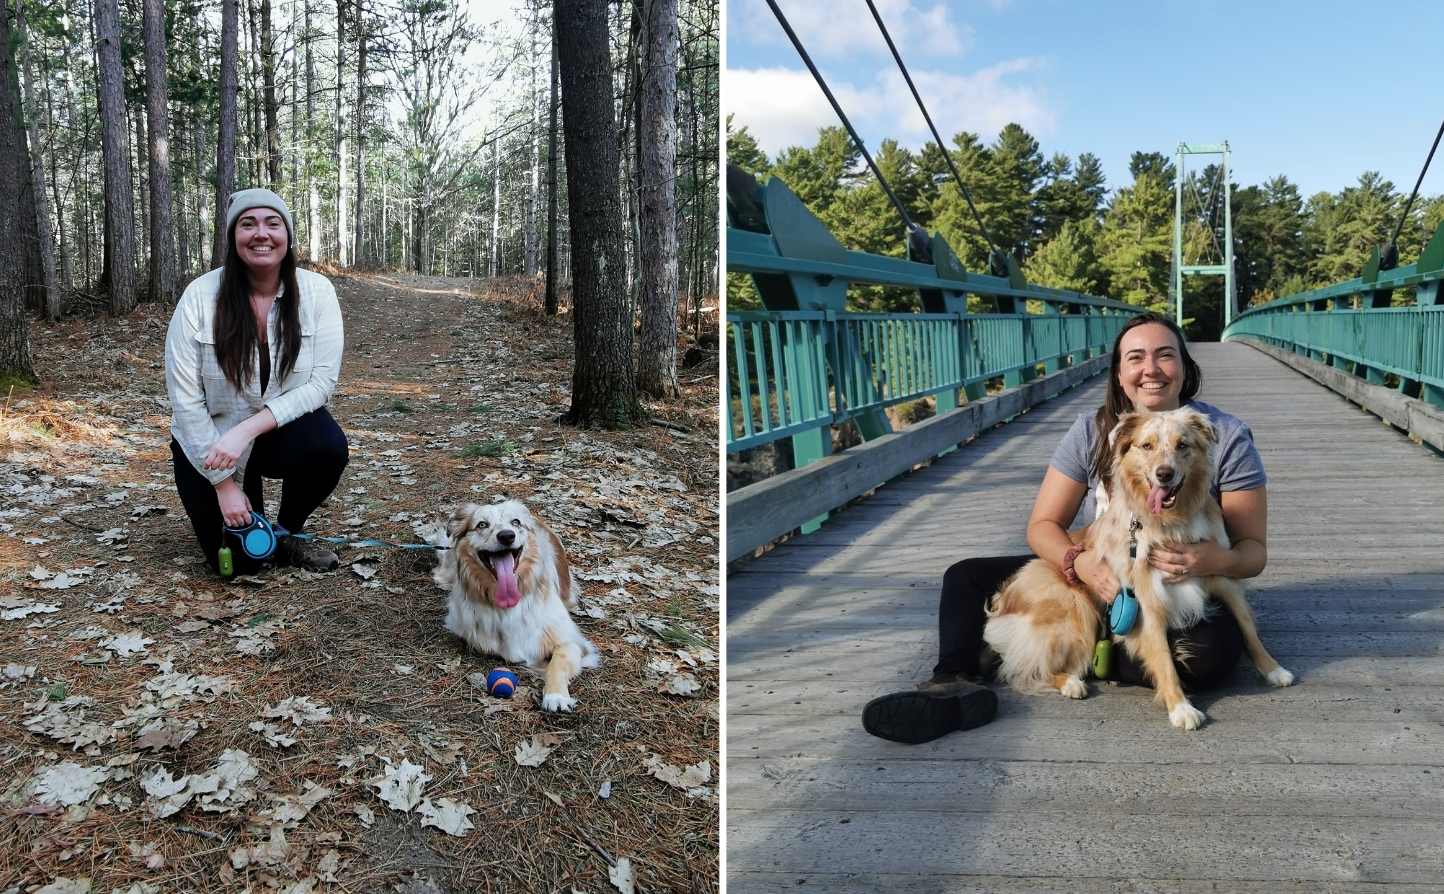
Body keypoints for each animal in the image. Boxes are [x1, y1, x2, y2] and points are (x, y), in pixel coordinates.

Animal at [436, 502, 600, 713]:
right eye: (482, 524)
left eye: (515, 522)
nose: (507, 535)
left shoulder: (572, 641)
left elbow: (558, 661)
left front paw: (556, 695)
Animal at [981, 410, 1299, 730]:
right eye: (1147, 446)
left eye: (1182, 445)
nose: (1164, 474)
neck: (1172, 522)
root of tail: (1006, 596)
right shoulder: (1147, 600)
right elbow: (1164, 657)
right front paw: (1181, 707)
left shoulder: (1221, 575)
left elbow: (1248, 627)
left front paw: (1273, 669)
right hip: (1077, 611)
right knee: (1028, 668)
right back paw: (1071, 682)